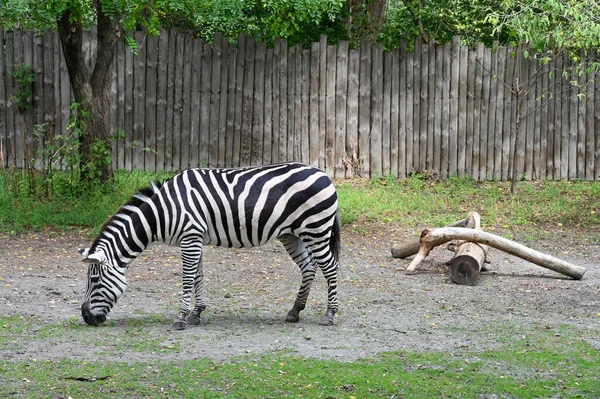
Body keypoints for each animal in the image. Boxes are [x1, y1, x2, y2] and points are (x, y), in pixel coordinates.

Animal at [80, 162, 340, 332]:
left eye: (94, 280)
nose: (85, 317)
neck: (163, 211)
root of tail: (323, 174)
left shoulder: (190, 237)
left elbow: (187, 277)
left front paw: (180, 318)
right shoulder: (194, 238)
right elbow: (198, 276)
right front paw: (196, 313)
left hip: (316, 229)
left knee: (330, 267)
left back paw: (330, 314)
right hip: (292, 234)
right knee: (309, 267)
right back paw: (295, 311)